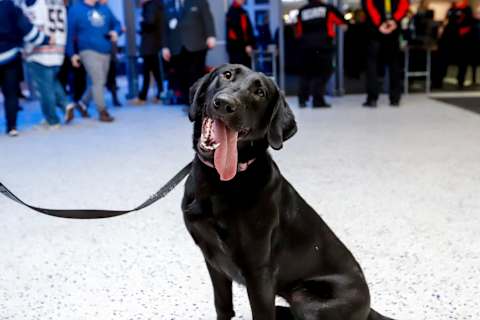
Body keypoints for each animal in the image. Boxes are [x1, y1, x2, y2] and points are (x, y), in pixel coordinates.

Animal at [180, 63, 394, 318]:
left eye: (260, 92)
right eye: (227, 74)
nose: (225, 104)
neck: (219, 180)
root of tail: (369, 309)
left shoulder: (259, 273)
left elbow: (261, 313)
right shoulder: (213, 260)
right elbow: (222, 305)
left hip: (307, 300)